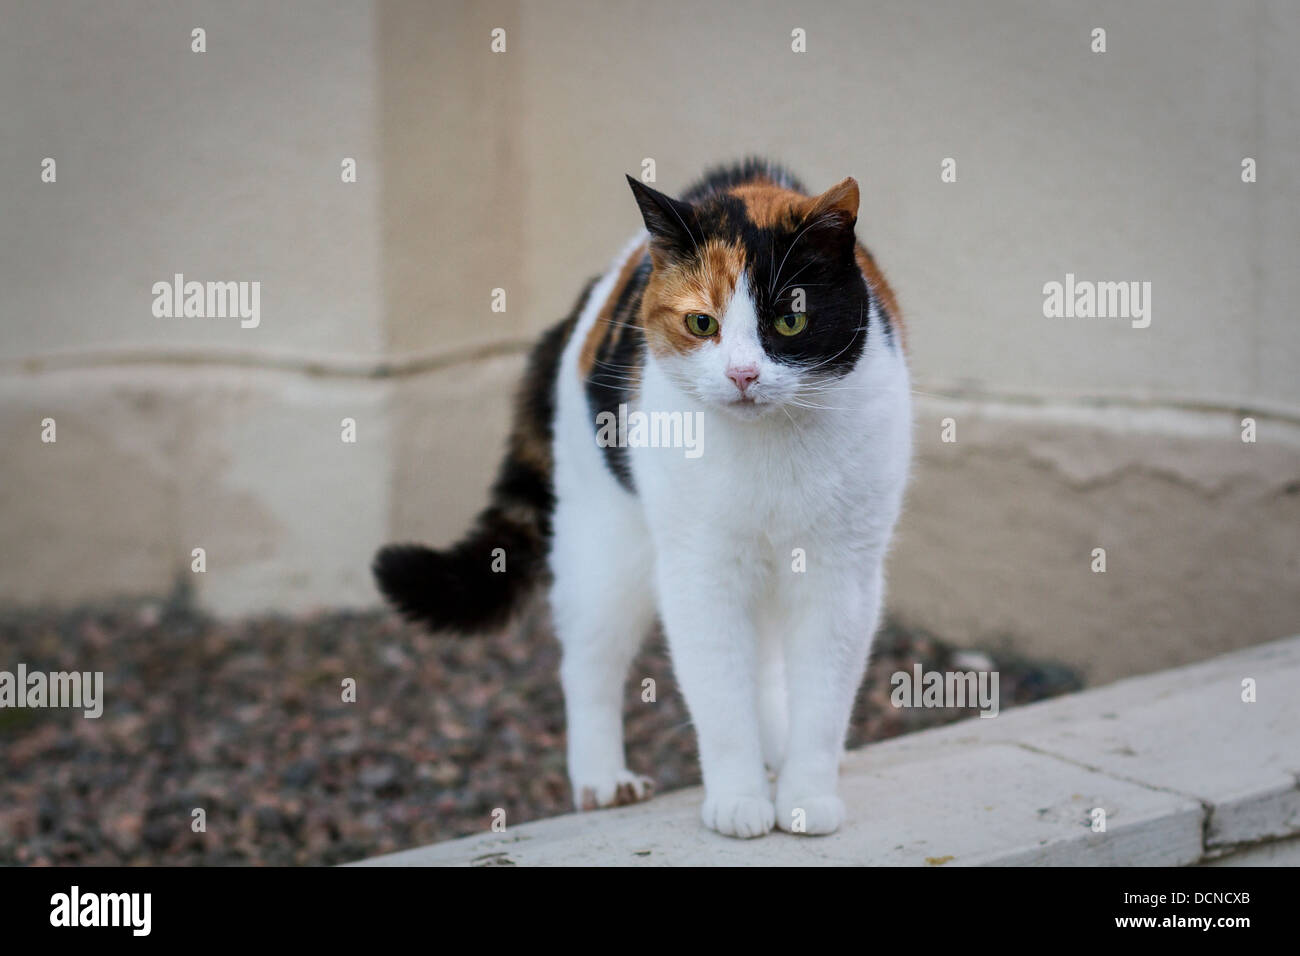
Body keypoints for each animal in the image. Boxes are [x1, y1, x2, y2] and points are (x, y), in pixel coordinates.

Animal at [371, 158, 909, 837]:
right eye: (701, 323)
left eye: (790, 320)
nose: (742, 375)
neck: (770, 450)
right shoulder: (699, 569)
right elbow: (718, 692)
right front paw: (738, 799)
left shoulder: (843, 574)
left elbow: (822, 695)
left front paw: (805, 795)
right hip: (604, 547)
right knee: (588, 663)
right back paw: (604, 781)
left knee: (764, 664)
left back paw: (774, 751)